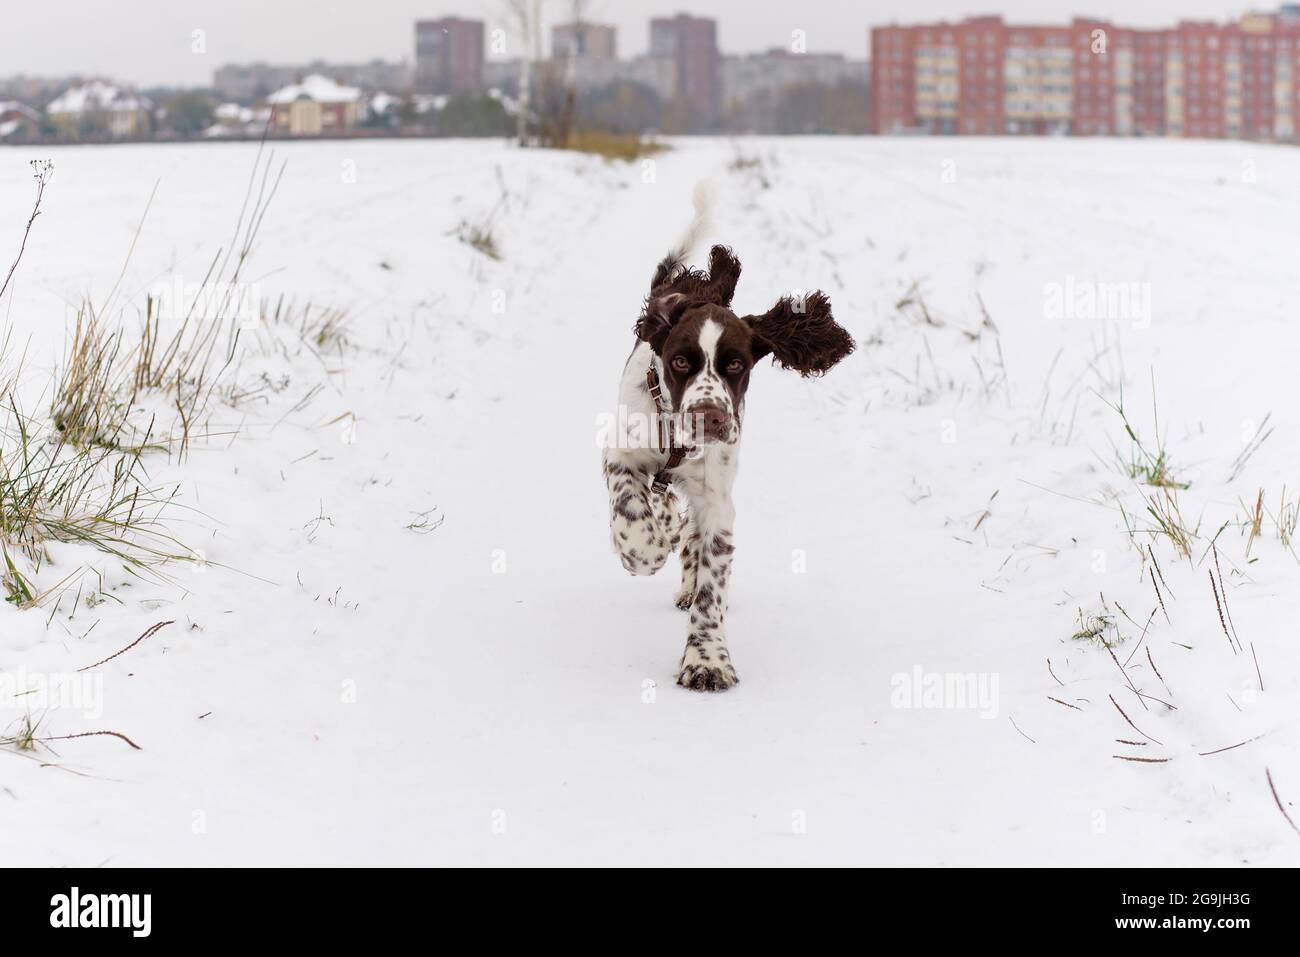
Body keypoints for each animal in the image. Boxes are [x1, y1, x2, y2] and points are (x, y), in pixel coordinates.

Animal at [603, 208, 857, 696]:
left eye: (736, 364)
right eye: (680, 361)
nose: (710, 417)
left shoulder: (717, 502)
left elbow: (710, 585)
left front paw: (706, 662)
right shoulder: (619, 454)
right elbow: (634, 518)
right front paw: (648, 546)